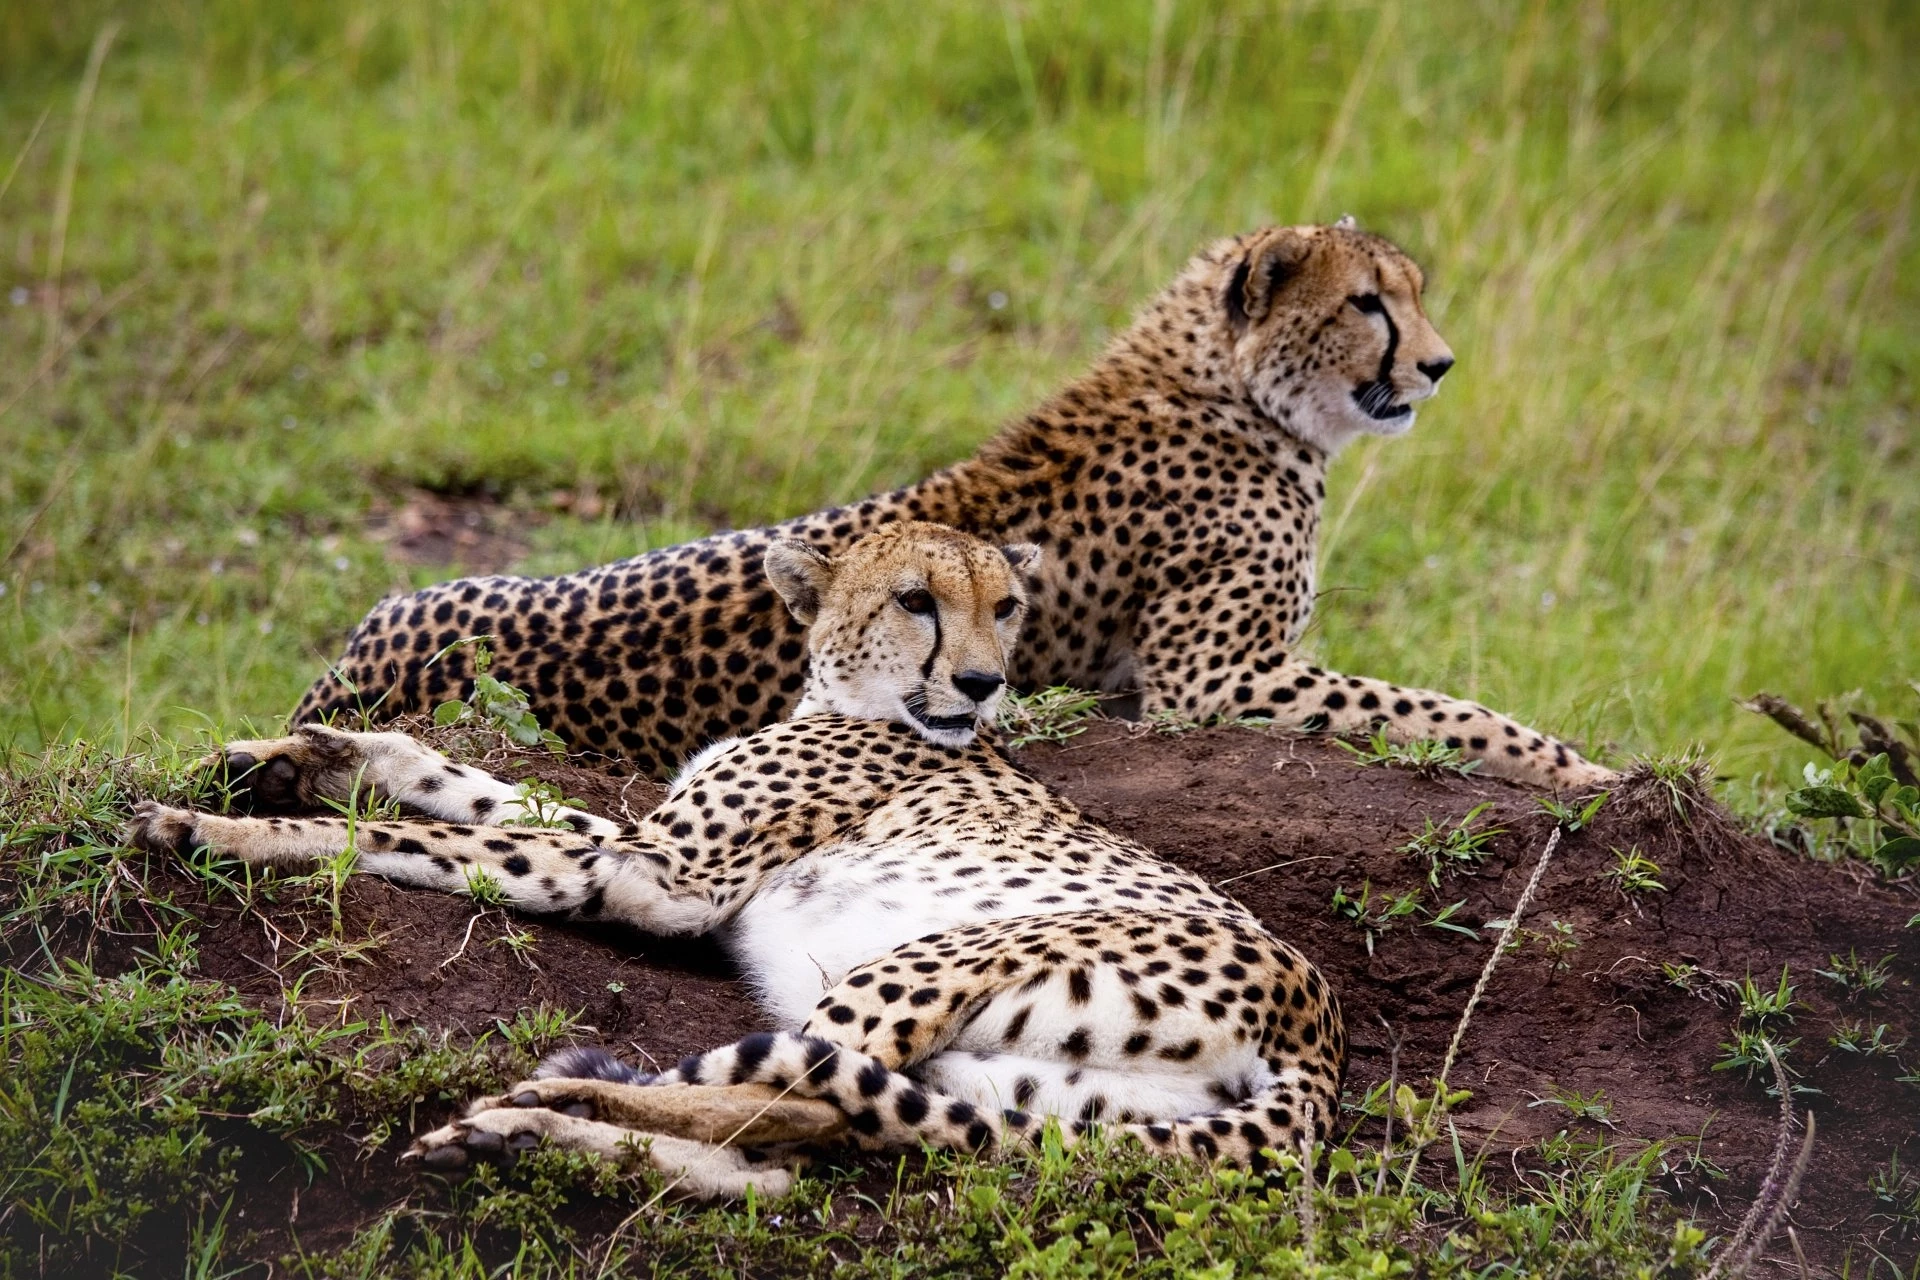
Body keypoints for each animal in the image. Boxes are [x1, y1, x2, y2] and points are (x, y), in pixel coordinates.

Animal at [131, 521, 1351, 1205]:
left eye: (1007, 607)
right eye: (919, 600)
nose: (984, 682)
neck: (850, 698)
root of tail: (1320, 1026)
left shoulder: (657, 876)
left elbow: (433, 839)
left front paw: (224, 832)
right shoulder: (649, 844)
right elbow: (481, 792)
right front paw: (303, 755)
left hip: (926, 965)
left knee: (789, 1102)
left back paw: (548, 1103)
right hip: (1019, 1087)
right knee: (802, 1150)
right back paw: (531, 1133)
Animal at [299, 217, 1612, 790]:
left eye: (1411, 295)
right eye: (1370, 305)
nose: (1440, 364)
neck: (1233, 390)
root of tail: (354, 660)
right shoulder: (1210, 681)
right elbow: (1436, 705)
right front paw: (1582, 768)